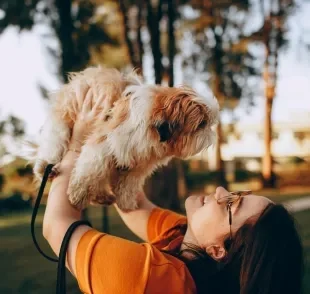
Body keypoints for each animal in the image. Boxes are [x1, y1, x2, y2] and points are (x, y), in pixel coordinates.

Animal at [28, 66, 218, 210]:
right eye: (202, 124)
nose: (212, 134)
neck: (149, 127)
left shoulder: (138, 164)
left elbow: (128, 183)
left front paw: (126, 202)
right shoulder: (104, 143)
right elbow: (89, 169)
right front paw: (78, 193)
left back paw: (101, 195)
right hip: (62, 121)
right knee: (53, 144)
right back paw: (46, 167)